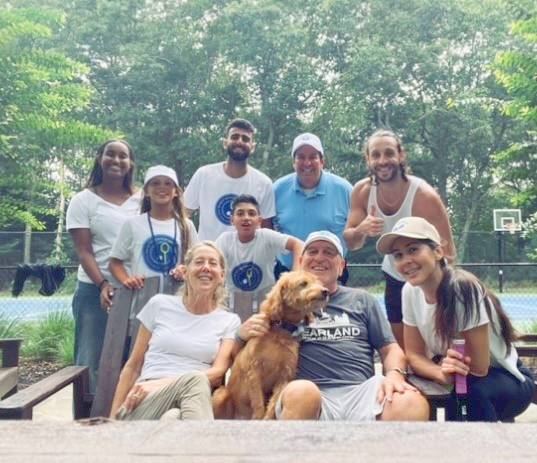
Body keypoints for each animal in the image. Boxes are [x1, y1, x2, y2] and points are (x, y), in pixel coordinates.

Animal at [213, 272, 328, 420]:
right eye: (303, 283)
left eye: (318, 282)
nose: (325, 291)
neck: (281, 330)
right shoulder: (254, 370)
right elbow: (258, 402)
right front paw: (258, 417)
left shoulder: (284, 375)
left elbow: (272, 405)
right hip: (220, 394)